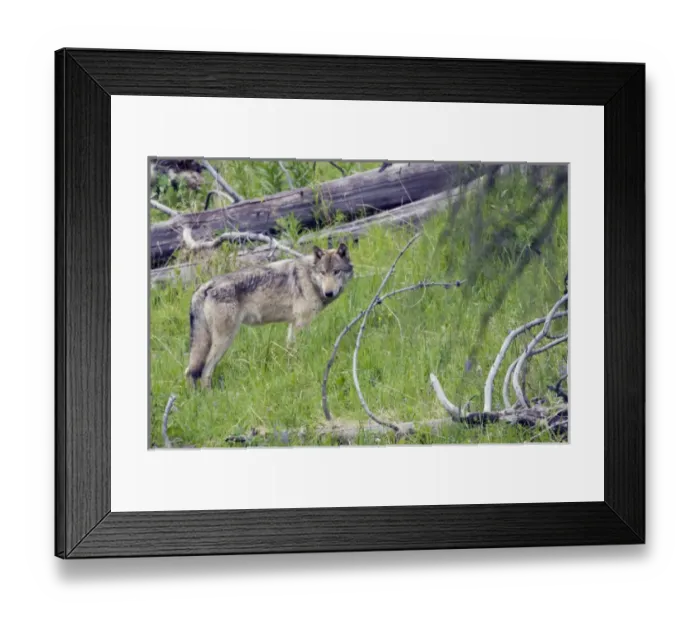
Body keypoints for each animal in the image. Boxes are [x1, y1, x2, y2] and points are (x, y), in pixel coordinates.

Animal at [185, 243, 353, 388]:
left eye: (336, 271)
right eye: (322, 273)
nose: (329, 293)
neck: (310, 278)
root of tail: (205, 286)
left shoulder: (293, 324)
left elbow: (290, 350)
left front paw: (292, 368)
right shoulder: (302, 323)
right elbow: (302, 347)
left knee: (190, 371)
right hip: (224, 340)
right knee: (204, 371)